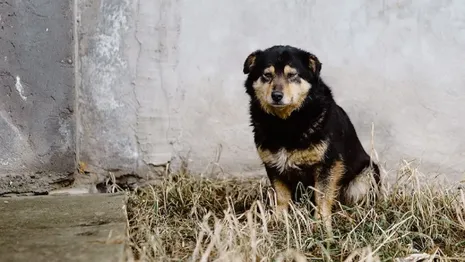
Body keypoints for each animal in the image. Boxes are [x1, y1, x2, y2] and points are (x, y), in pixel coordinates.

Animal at [241, 45, 378, 235]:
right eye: (267, 75)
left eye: (292, 75)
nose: (276, 95)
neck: (286, 123)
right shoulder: (273, 164)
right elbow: (281, 197)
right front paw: (279, 220)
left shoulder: (328, 164)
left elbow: (322, 197)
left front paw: (321, 225)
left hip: (367, 175)